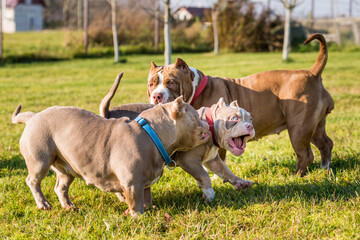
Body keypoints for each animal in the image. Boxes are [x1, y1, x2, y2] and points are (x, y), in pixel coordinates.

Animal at [12, 97, 210, 216]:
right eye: (196, 117)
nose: (207, 123)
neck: (152, 134)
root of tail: (33, 117)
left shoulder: (144, 182)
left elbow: (146, 196)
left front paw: (150, 208)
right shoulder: (132, 183)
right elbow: (135, 200)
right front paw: (138, 215)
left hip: (66, 169)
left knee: (61, 187)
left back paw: (69, 206)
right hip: (40, 161)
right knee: (33, 181)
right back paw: (43, 203)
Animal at [100, 73, 255, 202]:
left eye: (251, 119)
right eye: (234, 118)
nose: (250, 126)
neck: (210, 124)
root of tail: (107, 113)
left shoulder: (212, 160)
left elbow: (225, 171)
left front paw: (240, 182)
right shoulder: (188, 160)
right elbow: (204, 175)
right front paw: (209, 193)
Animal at [146, 33, 334, 175]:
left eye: (171, 82)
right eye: (151, 84)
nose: (156, 96)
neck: (197, 89)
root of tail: (312, 73)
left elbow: (218, 158)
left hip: (299, 128)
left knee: (305, 154)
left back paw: (297, 176)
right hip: (315, 125)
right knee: (326, 144)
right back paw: (324, 168)